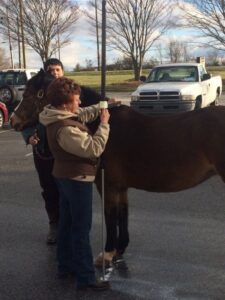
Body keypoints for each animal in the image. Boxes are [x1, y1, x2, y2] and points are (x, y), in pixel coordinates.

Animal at [11, 70, 225, 268]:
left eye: (28, 94)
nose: (13, 121)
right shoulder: (120, 187)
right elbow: (122, 214)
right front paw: (119, 250)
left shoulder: (107, 185)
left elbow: (110, 216)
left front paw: (107, 254)